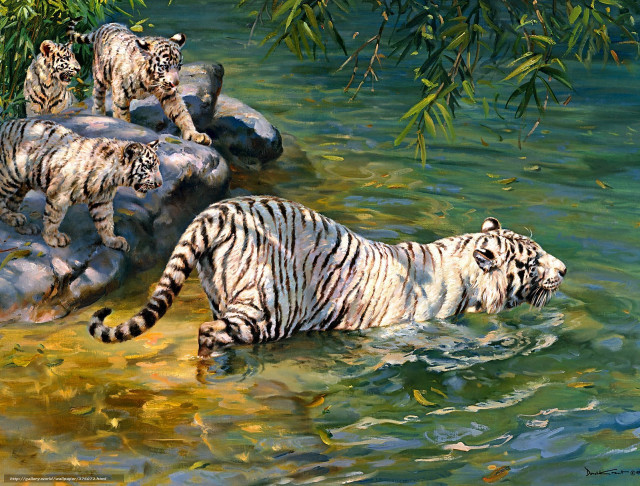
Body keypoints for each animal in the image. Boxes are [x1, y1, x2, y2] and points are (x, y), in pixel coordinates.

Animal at [0, 118, 162, 251]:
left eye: (157, 166)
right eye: (148, 166)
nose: (160, 183)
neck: (112, 178)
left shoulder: (102, 200)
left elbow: (105, 221)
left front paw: (112, 240)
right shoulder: (59, 193)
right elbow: (53, 217)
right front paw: (52, 238)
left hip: (22, 185)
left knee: (12, 202)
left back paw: (22, 224)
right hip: (9, 175)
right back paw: (13, 218)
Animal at [66, 21, 212, 146]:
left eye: (179, 66)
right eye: (164, 67)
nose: (175, 83)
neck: (150, 80)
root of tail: (106, 25)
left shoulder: (169, 94)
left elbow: (181, 113)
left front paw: (195, 135)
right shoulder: (121, 95)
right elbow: (122, 115)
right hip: (100, 76)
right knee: (98, 95)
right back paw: (98, 114)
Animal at [88, 195, 567, 356]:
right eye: (533, 260)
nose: (564, 269)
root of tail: (216, 211)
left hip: (220, 292)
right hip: (266, 308)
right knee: (210, 333)